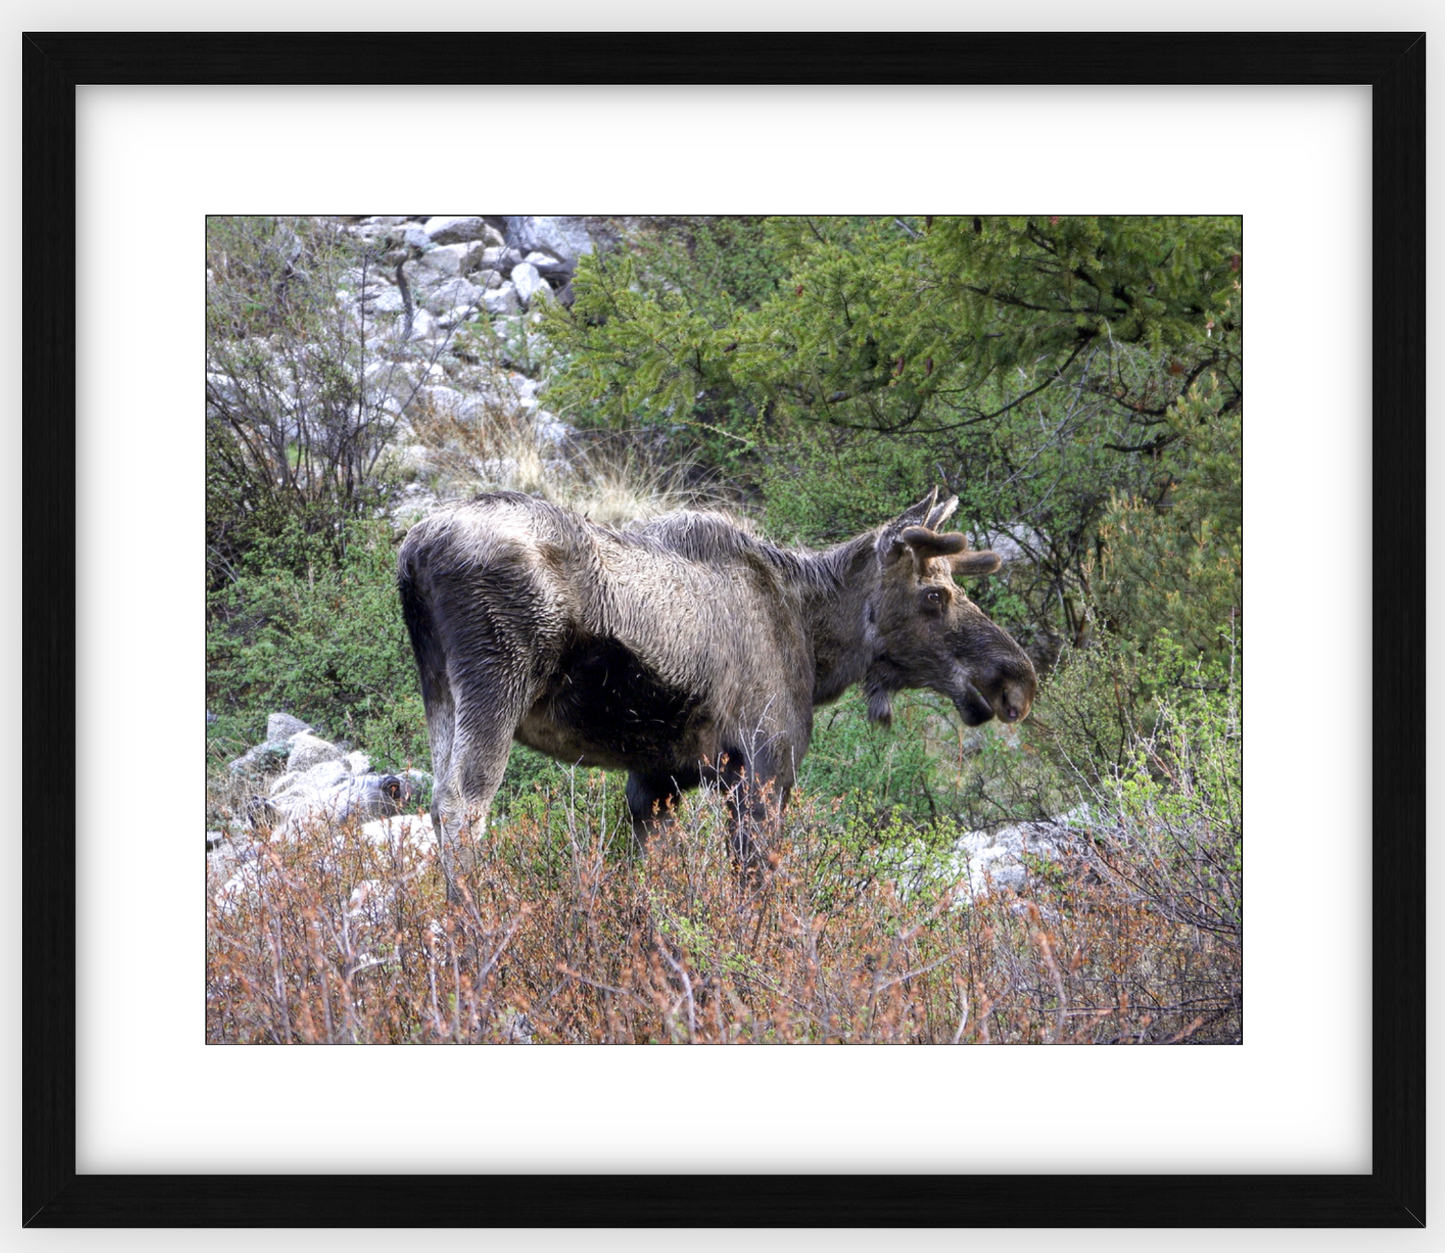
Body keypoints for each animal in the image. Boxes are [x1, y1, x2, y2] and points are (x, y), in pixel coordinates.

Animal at [395, 491, 1034, 901]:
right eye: (933, 595)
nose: (1016, 678)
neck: (814, 642)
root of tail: (413, 554)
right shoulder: (764, 764)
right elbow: (753, 890)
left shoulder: (657, 778)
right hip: (496, 680)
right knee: (462, 805)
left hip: (440, 691)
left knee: (437, 800)